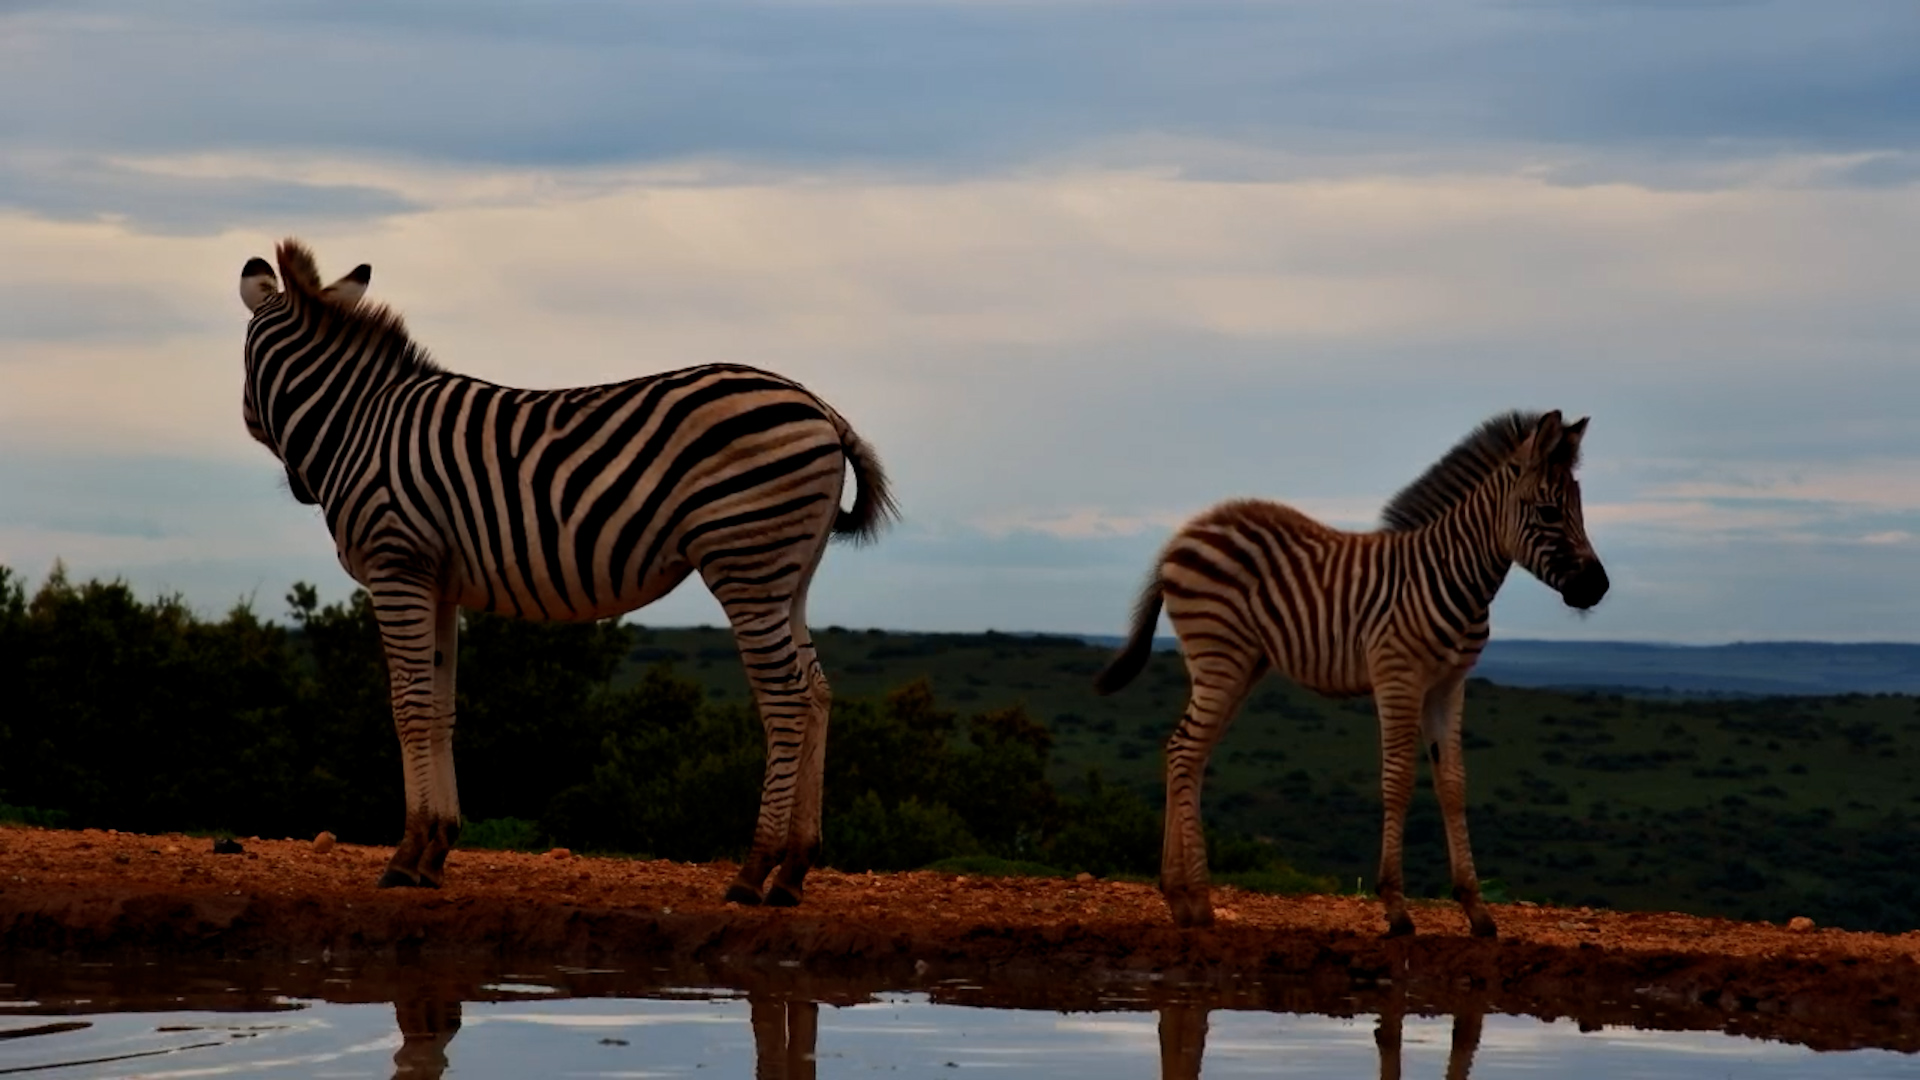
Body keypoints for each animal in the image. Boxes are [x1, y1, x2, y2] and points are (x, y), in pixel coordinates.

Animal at [237, 240, 896, 906]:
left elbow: (411, 705)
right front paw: (436, 851)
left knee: (786, 699)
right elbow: (443, 707)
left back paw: (754, 870)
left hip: (745, 563)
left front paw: (406, 854)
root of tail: (820, 408)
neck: (358, 422)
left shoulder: (396, 565)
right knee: (817, 691)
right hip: (790, 574)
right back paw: (794, 870)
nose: (300, 489)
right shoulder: (436, 581)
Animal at [1094, 411, 1608, 937]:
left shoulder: (1449, 685)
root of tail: (1185, 533)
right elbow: (1398, 780)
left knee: (1185, 752)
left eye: (1580, 510)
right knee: (1186, 750)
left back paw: (1178, 897)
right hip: (1221, 656)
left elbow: (1453, 784)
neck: (1453, 575)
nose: (1599, 587)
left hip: (1240, 665)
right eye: (1548, 512)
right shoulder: (1398, 676)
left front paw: (1476, 909)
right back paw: (1198, 899)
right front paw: (1396, 907)